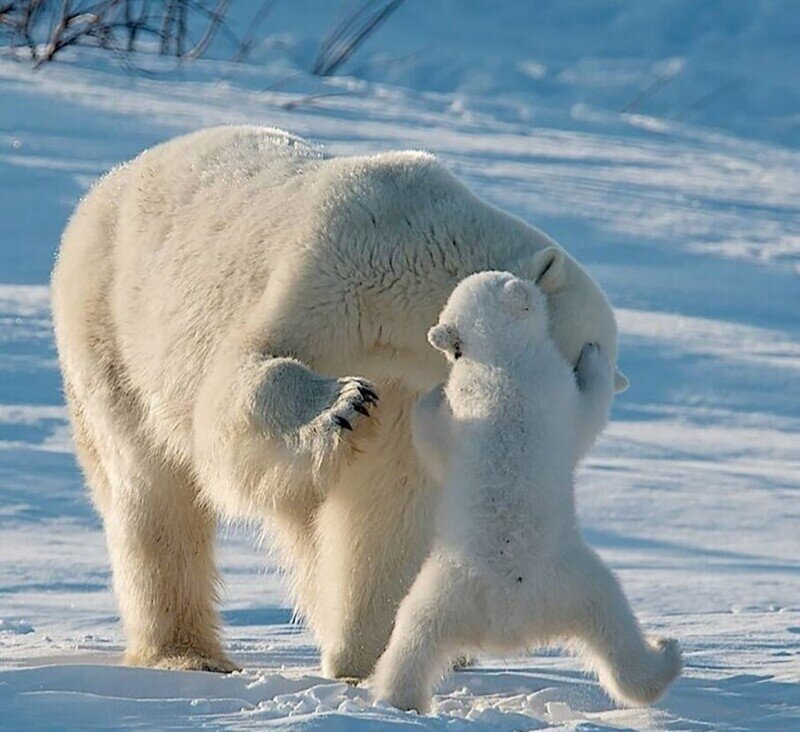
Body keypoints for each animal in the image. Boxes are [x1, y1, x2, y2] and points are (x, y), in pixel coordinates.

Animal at [51, 126, 632, 680]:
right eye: (575, 363)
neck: (409, 256)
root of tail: (105, 186)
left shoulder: (406, 384)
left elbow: (384, 502)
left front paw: (371, 653)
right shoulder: (322, 272)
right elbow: (241, 379)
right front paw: (342, 403)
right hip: (110, 333)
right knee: (151, 493)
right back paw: (186, 653)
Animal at [372, 272, 680, 712]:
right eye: (508, 278)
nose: (524, 277)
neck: (499, 359)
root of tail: (509, 617)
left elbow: (435, 443)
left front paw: (430, 395)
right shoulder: (552, 384)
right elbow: (588, 413)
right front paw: (594, 357)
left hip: (459, 591)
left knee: (413, 637)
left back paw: (397, 700)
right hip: (564, 579)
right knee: (617, 619)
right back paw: (667, 655)